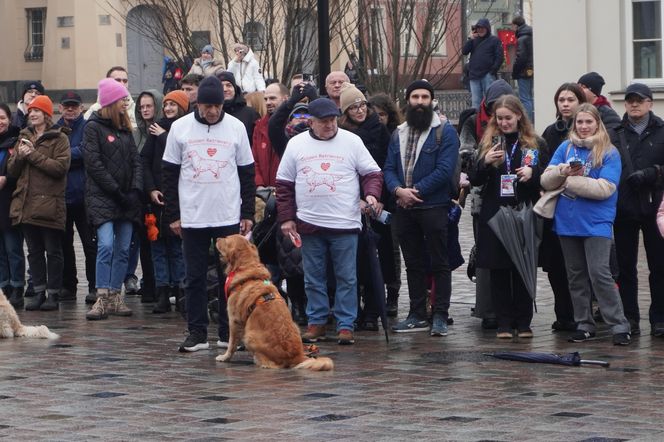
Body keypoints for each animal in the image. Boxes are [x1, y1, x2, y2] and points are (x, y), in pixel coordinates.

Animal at [217, 233, 334, 372]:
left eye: (226, 239)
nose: (217, 239)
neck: (246, 267)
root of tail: (298, 355)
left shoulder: (234, 320)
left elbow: (231, 344)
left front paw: (225, 357)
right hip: (295, 326)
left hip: (249, 335)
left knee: (274, 365)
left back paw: (260, 361)